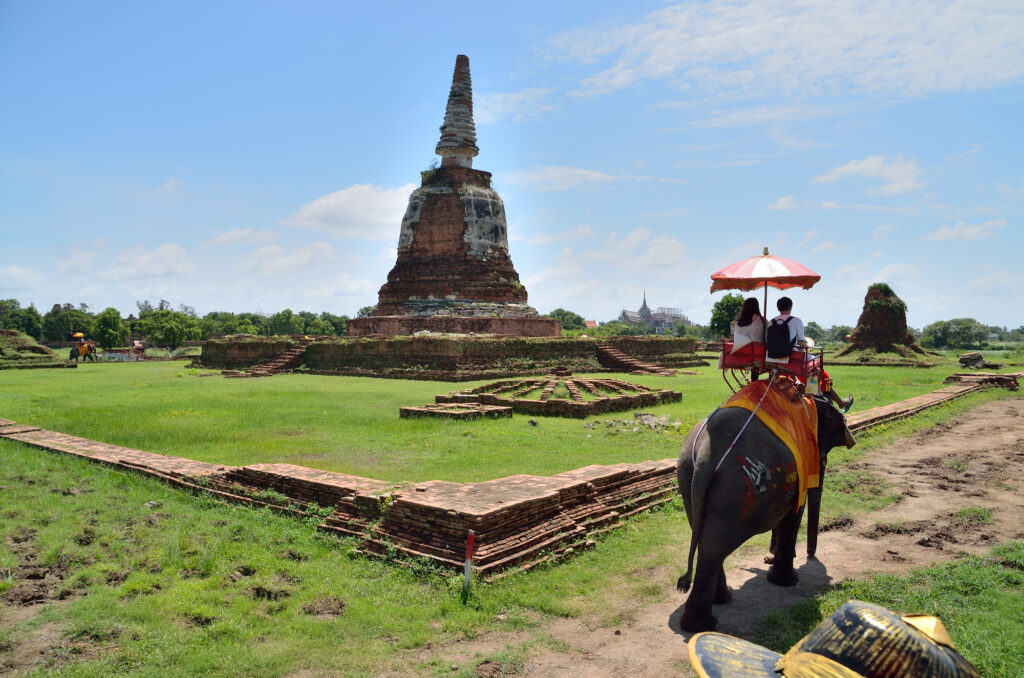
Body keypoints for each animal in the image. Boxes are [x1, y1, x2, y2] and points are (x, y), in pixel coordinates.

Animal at [671, 391, 856, 634]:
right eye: (822, 458)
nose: (810, 555)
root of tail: (706, 453)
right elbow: (795, 512)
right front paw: (788, 581)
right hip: (737, 490)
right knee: (713, 546)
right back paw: (703, 625)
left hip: (687, 478)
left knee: (704, 538)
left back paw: (719, 603)